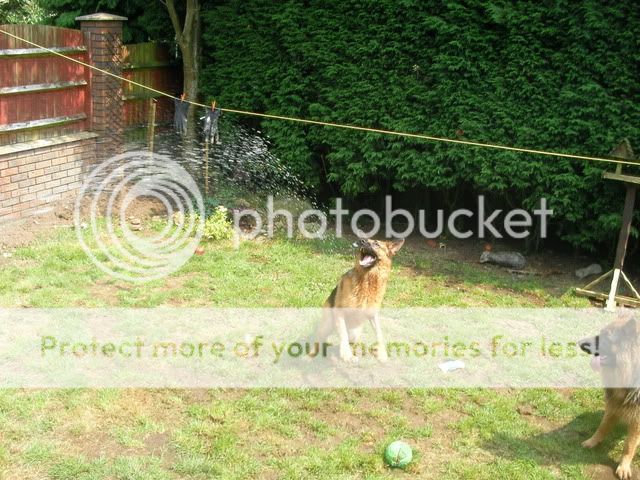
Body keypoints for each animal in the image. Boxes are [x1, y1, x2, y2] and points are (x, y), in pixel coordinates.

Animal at [312, 236, 402, 364]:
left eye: (376, 244)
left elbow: (379, 333)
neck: (367, 280)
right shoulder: (340, 312)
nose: (361, 241)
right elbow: (343, 334)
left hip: (354, 333)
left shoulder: (373, 315)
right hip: (326, 326)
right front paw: (346, 354)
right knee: (319, 339)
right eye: (366, 240)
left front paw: (381, 353)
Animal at [580, 316, 640, 480]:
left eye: (607, 337)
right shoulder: (614, 404)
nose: (579, 343)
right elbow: (603, 426)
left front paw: (624, 465)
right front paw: (592, 441)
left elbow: (629, 445)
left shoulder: (637, 418)